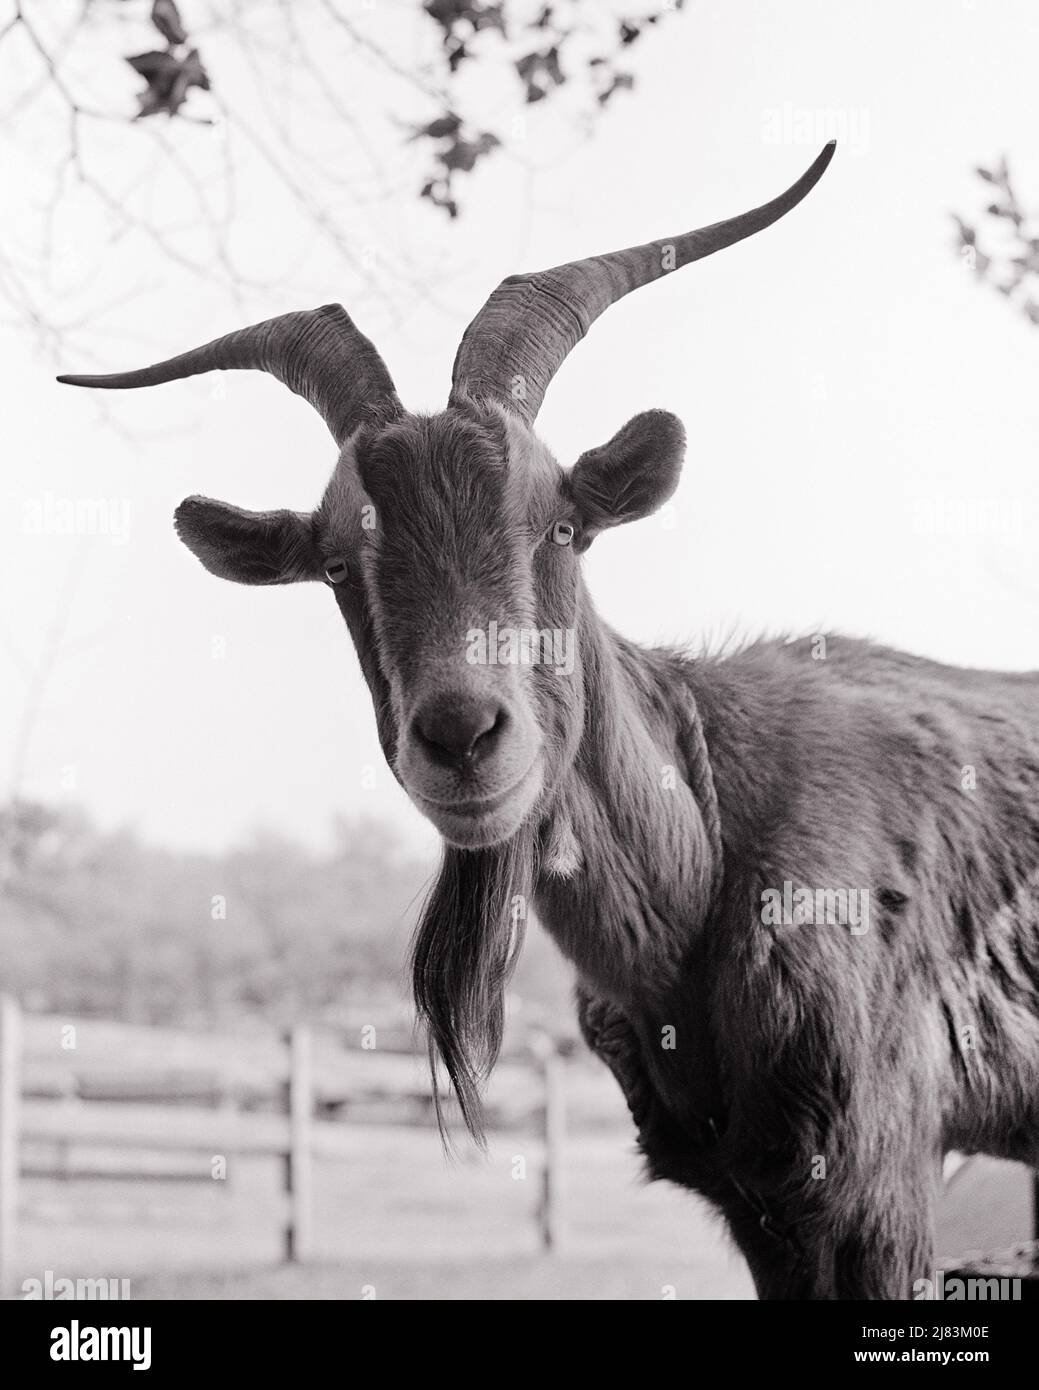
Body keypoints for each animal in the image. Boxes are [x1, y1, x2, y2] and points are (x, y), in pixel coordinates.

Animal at [58, 141, 1039, 1298]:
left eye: (562, 524)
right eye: (339, 563)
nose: (461, 736)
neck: (705, 846)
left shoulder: (877, 1171)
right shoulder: (754, 1201)